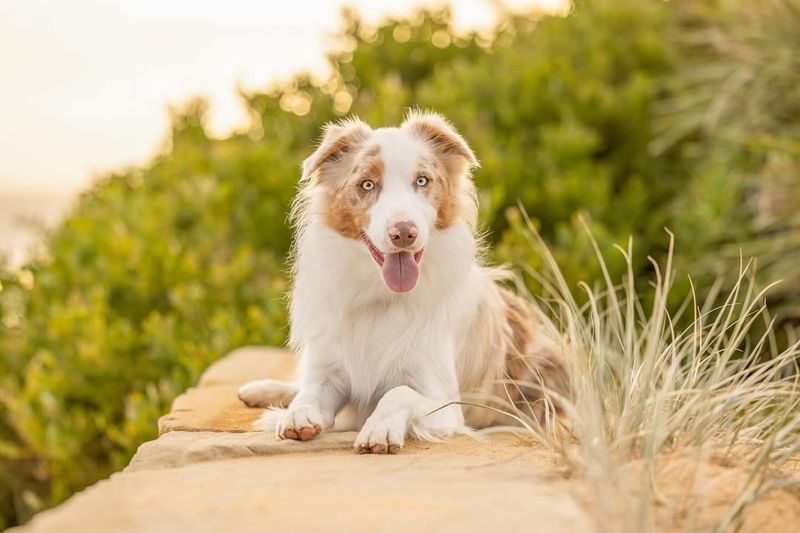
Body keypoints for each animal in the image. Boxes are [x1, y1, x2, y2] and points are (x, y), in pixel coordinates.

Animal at [238, 110, 568, 450]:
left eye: (422, 181)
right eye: (367, 184)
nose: (404, 233)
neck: (380, 296)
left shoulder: (445, 401)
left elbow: (399, 393)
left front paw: (379, 428)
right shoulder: (328, 368)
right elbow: (310, 393)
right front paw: (297, 414)